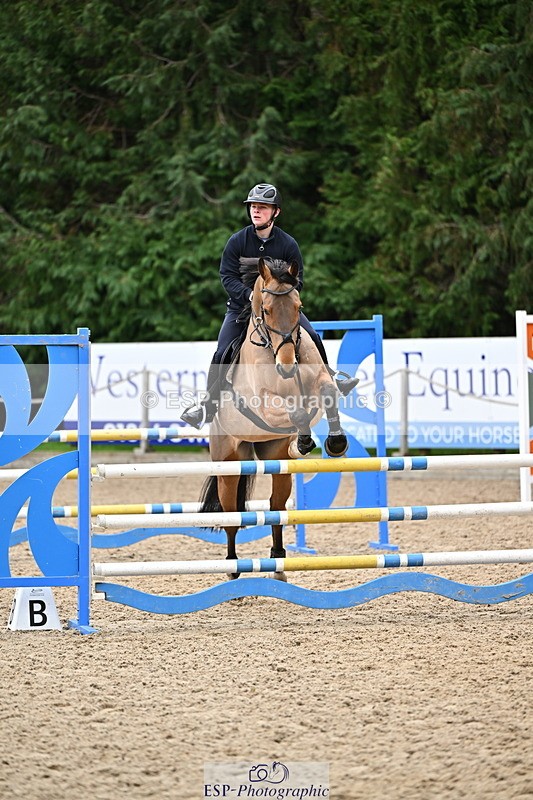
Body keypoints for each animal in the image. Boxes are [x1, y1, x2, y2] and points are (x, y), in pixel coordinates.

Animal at [199, 256, 351, 578]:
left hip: (276, 461)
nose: (287, 367)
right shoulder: (264, 403)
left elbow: (327, 392)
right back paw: (232, 568)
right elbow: (294, 409)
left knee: (276, 507)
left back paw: (278, 563)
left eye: (298, 306)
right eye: (266, 310)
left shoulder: (318, 380)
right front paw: (305, 440)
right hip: (228, 465)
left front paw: (333, 443)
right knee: (232, 514)